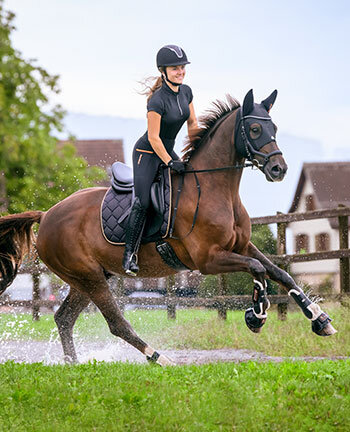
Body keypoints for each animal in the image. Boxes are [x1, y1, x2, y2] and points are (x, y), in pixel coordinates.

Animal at [0, 90, 334, 364]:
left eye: (273, 128)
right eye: (254, 129)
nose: (279, 169)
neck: (213, 189)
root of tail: (47, 215)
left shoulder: (240, 246)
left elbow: (279, 272)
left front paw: (320, 319)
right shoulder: (209, 260)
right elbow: (258, 269)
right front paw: (257, 316)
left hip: (87, 278)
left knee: (64, 318)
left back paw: (73, 365)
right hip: (89, 277)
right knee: (116, 323)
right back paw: (160, 359)